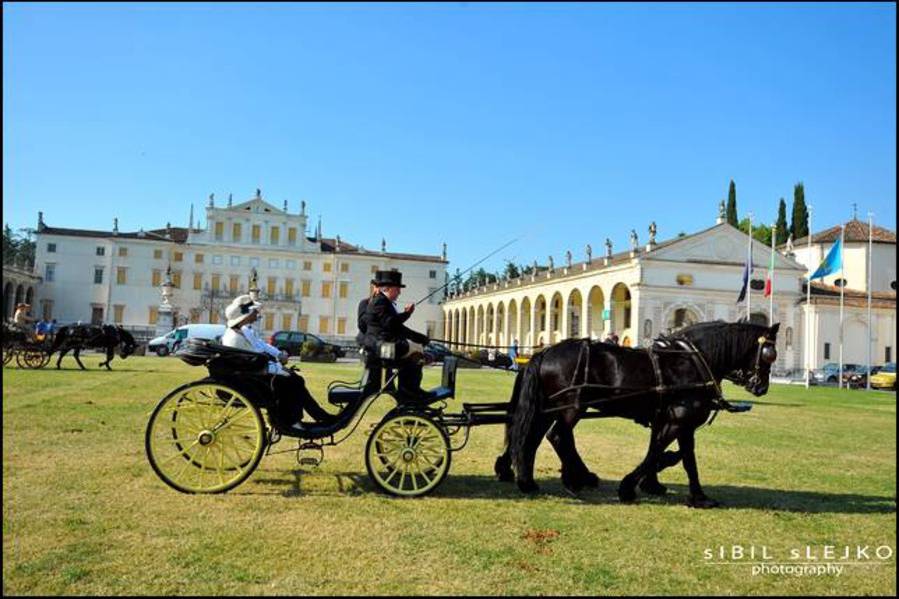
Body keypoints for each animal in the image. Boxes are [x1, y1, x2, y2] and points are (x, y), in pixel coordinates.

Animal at [496, 322, 776, 508]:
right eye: (769, 354)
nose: (761, 387)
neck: (691, 362)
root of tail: (545, 352)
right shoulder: (678, 420)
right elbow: (658, 453)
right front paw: (629, 487)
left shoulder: (675, 422)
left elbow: (682, 458)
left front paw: (692, 494)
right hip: (571, 407)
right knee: (558, 436)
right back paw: (575, 479)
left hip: (548, 407)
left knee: (532, 437)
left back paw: (528, 480)